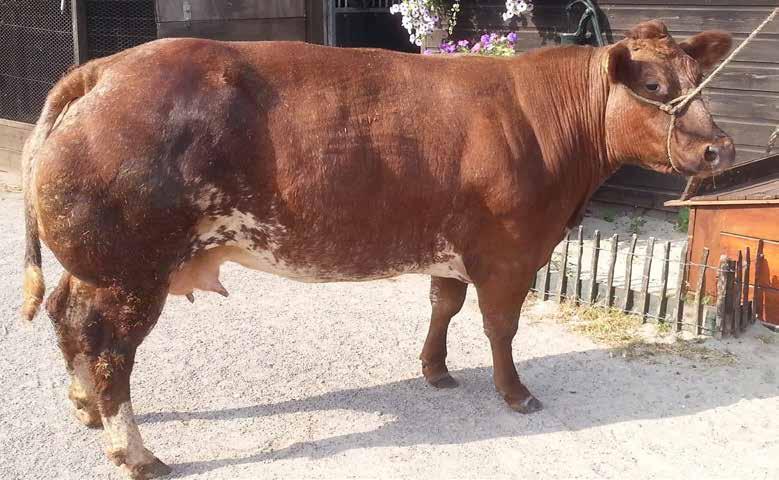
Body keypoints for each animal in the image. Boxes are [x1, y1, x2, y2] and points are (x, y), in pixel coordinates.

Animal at [21, 20, 736, 478]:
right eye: (652, 86)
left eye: (700, 78)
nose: (718, 149)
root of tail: (106, 68)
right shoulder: (510, 251)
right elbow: (500, 326)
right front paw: (514, 392)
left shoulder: (455, 247)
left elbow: (444, 305)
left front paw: (435, 369)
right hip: (130, 270)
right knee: (109, 351)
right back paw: (136, 453)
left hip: (94, 265)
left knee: (66, 316)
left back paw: (84, 407)